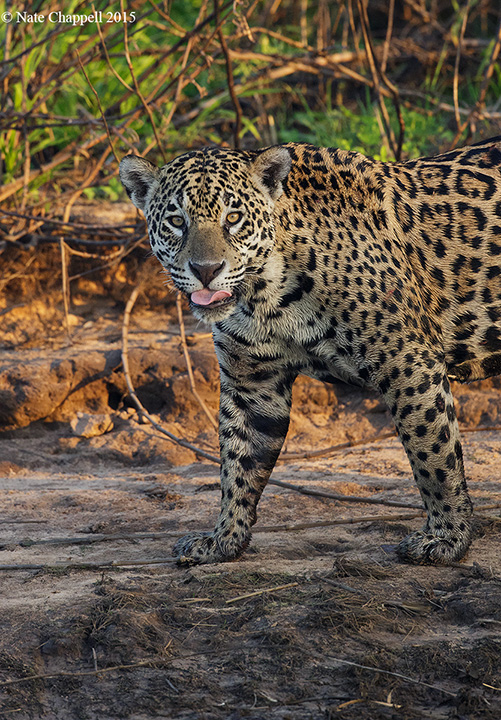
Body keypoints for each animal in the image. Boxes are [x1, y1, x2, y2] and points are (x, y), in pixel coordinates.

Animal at [120, 135, 501, 566]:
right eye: (176, 221)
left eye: (233, 218)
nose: (206, 270)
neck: (264, 295)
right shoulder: (252, 383)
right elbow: (238, 462)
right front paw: (223, 539)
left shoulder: (406, 360)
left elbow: (433, 455)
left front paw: (447, 538)